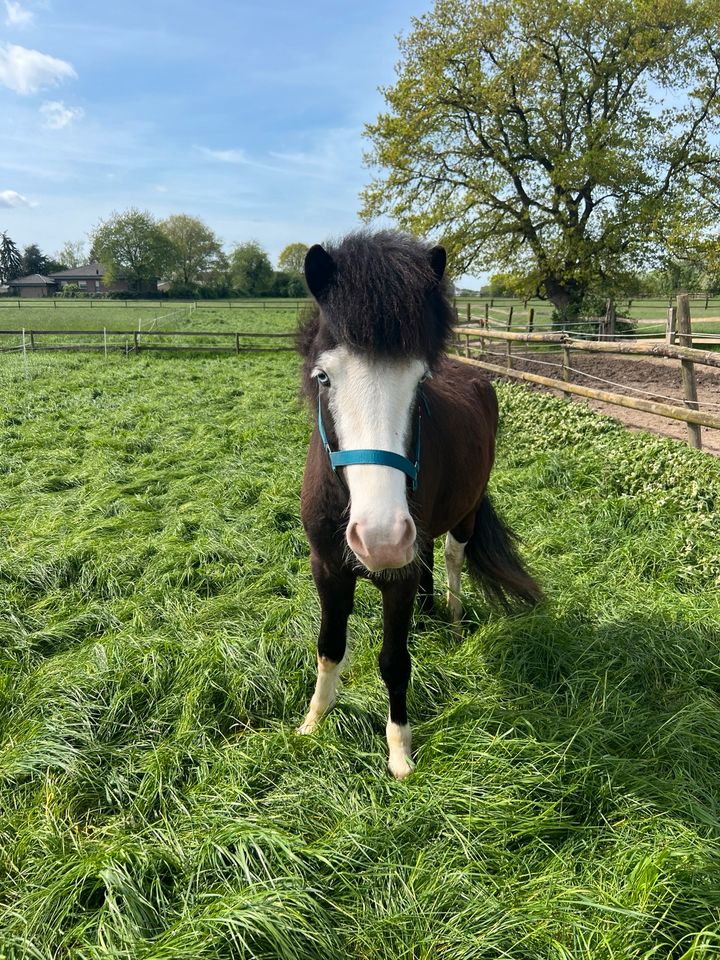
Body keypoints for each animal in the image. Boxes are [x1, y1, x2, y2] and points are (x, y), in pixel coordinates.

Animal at [294, 232, 540, 780]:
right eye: (323, 377)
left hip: (463, 515)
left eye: (420, 381)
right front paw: (314, 722)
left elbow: (393, 660)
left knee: (448, 557)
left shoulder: (397, 577)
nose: (381, 538)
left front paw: (399, 750)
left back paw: (451, 616)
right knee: (426, 554)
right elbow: (329, 647)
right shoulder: (327, 568)